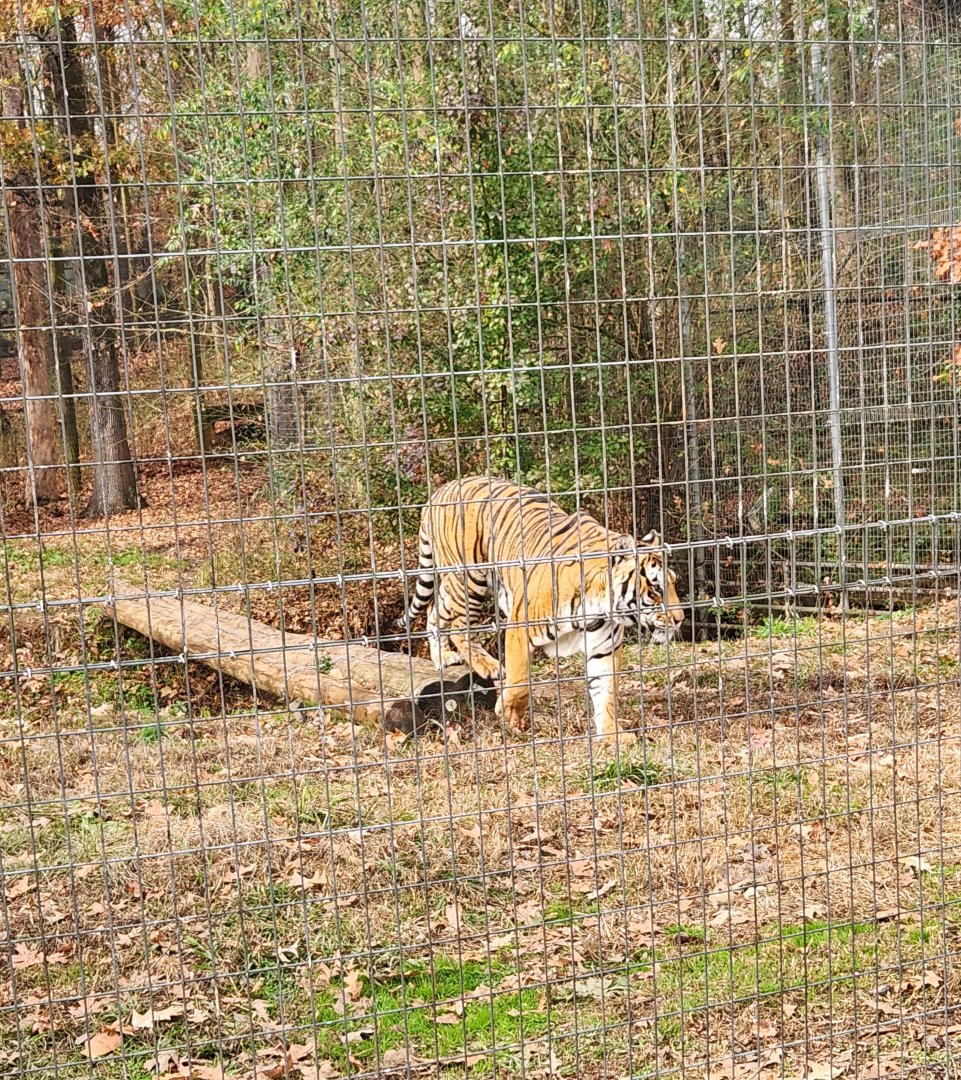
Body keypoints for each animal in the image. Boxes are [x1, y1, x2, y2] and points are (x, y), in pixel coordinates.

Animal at [397, 476, 685, 739]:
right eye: (655, 590)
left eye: (673, 583)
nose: (680, 618)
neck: (599, 605)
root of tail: (441, 490)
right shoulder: (518, 628)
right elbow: (519, 680)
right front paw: (509, 713)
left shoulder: (604, 649)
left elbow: (607, 693)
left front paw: (613, 736)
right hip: (469, 581)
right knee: (452, 622)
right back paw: (484, 664)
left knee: (434, 611)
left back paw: (443, 658)